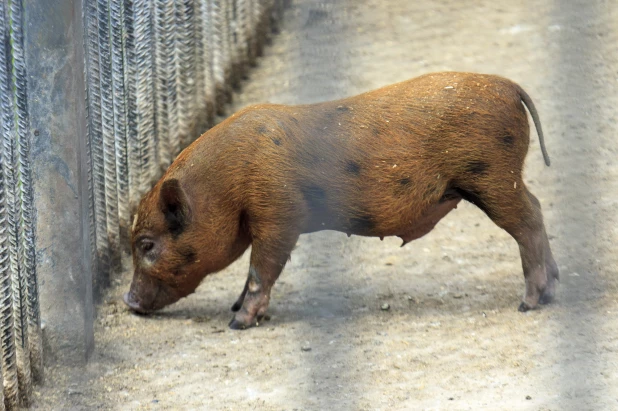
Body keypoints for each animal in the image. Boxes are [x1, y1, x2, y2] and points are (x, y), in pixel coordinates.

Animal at [122, 72, 556, 332]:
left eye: (146, 245)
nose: (128, 301)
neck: (227, 185)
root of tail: (508, 85)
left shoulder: (279, 216)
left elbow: (262, 268)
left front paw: (237, 324)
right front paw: (233, 308)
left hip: (492, 176)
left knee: (530, 218)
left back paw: (528, 304)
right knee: (536, 211)